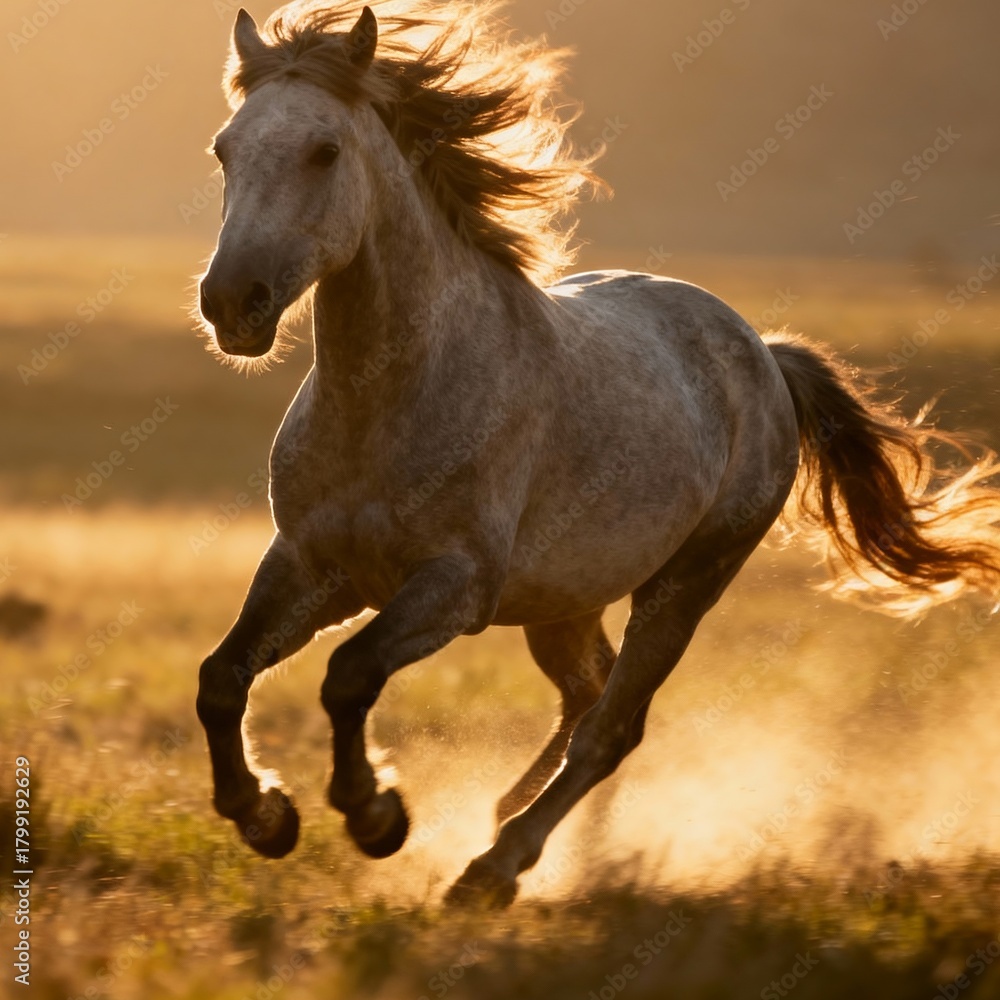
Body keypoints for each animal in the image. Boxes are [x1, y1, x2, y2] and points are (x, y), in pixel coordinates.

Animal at [194, 0, 1000, 907]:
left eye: (325, 150)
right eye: (225, 148)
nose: (231, 302)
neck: (389, 398)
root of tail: (763, 352)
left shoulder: (453, 585)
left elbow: (349, 674)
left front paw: (377, 817)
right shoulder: (309, 565)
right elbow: (222, 678)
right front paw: (265, 817)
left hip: (686, 585)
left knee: (613, 725)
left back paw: (495, 866)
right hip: (565, 598)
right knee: (588, 692)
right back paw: (515, 817)